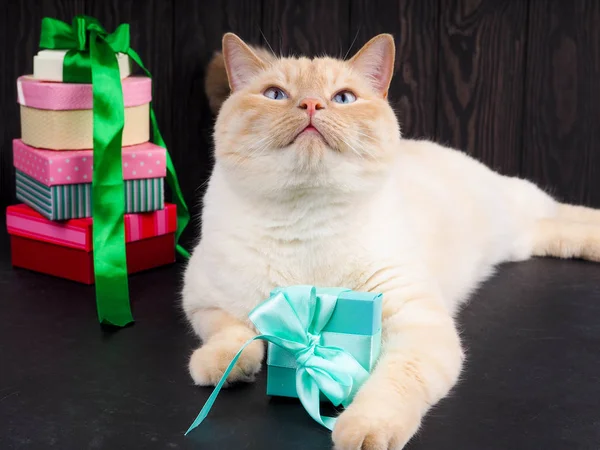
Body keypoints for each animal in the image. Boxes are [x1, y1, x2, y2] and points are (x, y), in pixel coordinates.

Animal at [182, 32, 600, 450]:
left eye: (343, 98)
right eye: (275, 94)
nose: (312, 104)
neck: (306, 217)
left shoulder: (416, 325)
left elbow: (392, 385)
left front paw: (363, 429)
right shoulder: (203, 302)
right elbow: (233, 334)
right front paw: (225, 368)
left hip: (518, 205)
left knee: (562, 210)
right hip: (520, 241)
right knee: (552, 232)